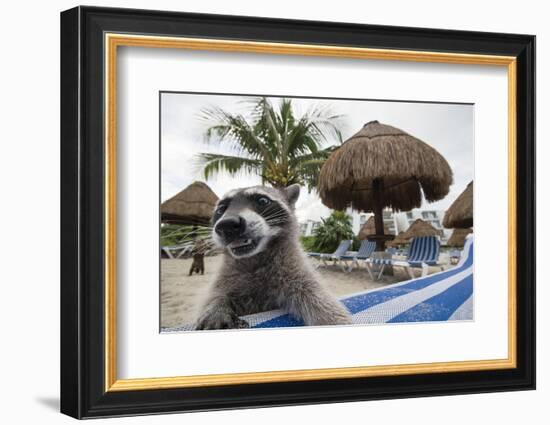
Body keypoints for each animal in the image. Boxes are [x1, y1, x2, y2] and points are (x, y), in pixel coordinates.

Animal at [195, 184, 354, 330]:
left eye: (262, 201)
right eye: (221, 209)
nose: (226, 225)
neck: (256, 255)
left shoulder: (295, 270)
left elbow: (321, 300)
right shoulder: (227, 275)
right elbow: (215, 294)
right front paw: (216, 306)